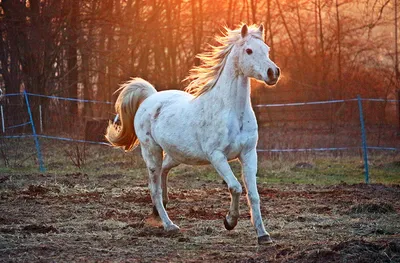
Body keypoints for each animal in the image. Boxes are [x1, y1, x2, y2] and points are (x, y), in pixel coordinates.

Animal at [106, 24, 282, 245]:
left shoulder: (249, 154)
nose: (273, 72)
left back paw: (159, 210)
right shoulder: (217, 156)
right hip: (152, 152)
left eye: (266, 49)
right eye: (249, 50)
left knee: (163, 173)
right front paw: (229, 222)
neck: (232, 112)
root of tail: (150, 98)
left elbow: (254, 195)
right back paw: (169, 225)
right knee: (154, 188)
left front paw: (263, 235)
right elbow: (235, 187)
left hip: (177, 154)